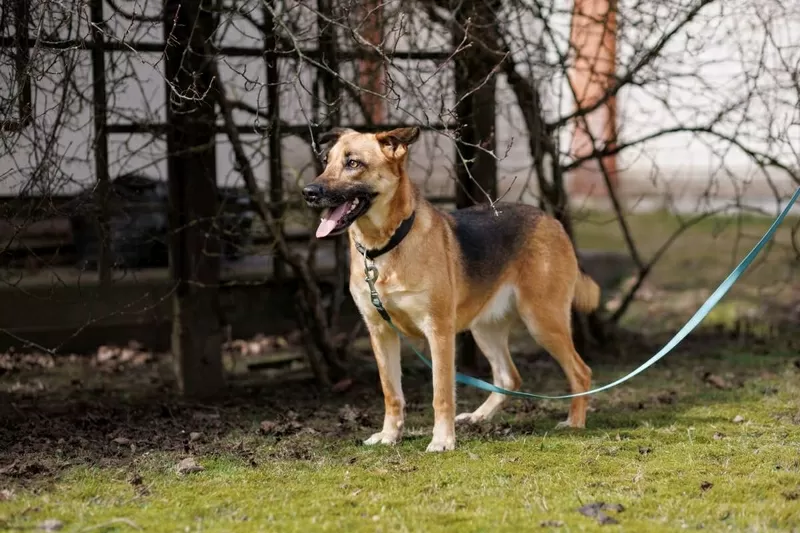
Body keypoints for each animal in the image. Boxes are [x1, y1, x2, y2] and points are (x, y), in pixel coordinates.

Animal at [306, 127, 600, 450]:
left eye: (353, 163)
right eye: (326, 161)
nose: (308, 192)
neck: (384, 247)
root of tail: (552, 220)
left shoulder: (439, 332)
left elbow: (442, 393)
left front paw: (442, 440)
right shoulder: (380, 333)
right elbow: (391, 393)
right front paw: (390, 435)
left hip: (543, 322)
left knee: (581, 372)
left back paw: (575, 422)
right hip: (485, 328)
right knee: (509, 377)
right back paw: (479, 416)